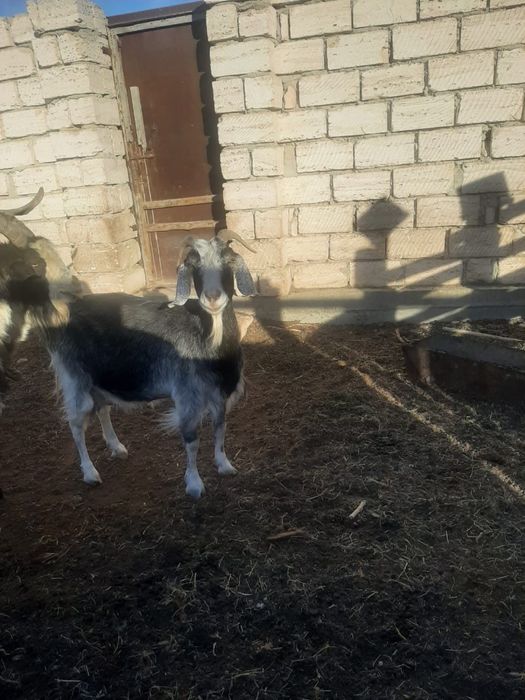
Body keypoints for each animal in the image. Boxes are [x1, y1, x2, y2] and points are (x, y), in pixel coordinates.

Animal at [42, 231, 257, 498]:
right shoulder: (187, 395)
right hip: (74, 377)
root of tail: (69, 310)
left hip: (100, 378)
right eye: (193, 265)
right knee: (76, 423)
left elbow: (220, 428)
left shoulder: (220, 393)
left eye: (227, 260)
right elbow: (192, 441)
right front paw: (194, 484)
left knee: (102, 409)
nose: (213, 297)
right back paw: (90, 473)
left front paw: (225, 465)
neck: (209, 338)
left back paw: (117, 447)